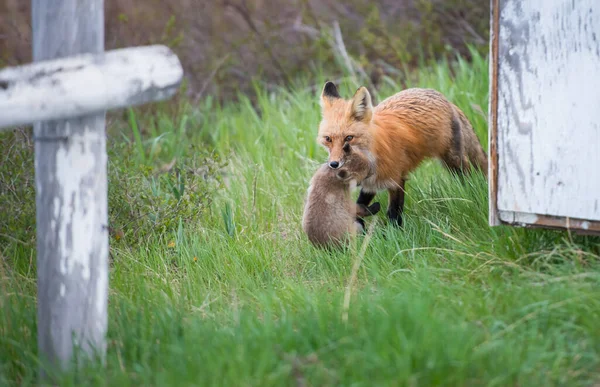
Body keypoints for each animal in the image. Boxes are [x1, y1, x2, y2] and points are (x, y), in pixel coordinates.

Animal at [318, 81, 488, 227]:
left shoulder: (396, 179)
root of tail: (445, 99)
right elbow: (359, 206)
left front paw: (394, 235)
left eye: (349, 138)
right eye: (328, 139)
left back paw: (471, 196)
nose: (334, 164)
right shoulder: (370, 184)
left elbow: (394, 213)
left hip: (454, 161)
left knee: (469, 178)